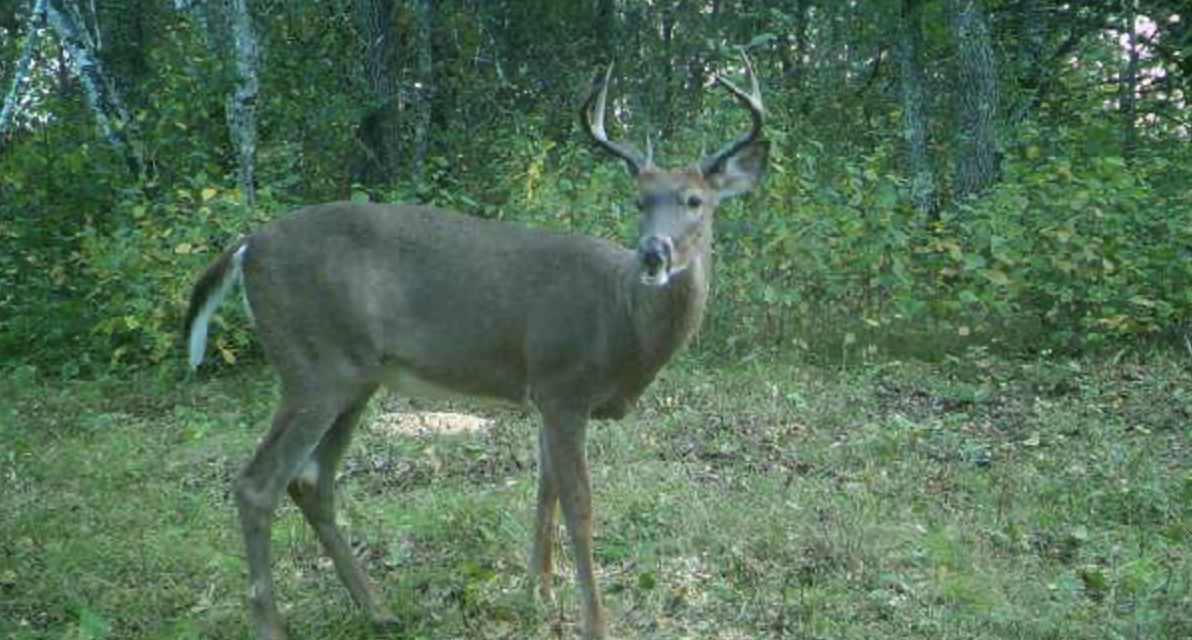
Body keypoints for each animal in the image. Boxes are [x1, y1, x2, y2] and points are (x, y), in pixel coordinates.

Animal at [182, 53, 767, 638]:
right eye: (639, 200)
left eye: (695, 200)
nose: (653, 252)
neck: (623, 319)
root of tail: (245, 246)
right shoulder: (563, 385)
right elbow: (579, 507)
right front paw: (593, 621)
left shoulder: (543, 394)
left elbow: (544, 490)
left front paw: (538, 591)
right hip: (312, 367)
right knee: (258, 484)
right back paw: (273, 624)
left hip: (354, 378)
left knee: (311, 482)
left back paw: (379, 610)